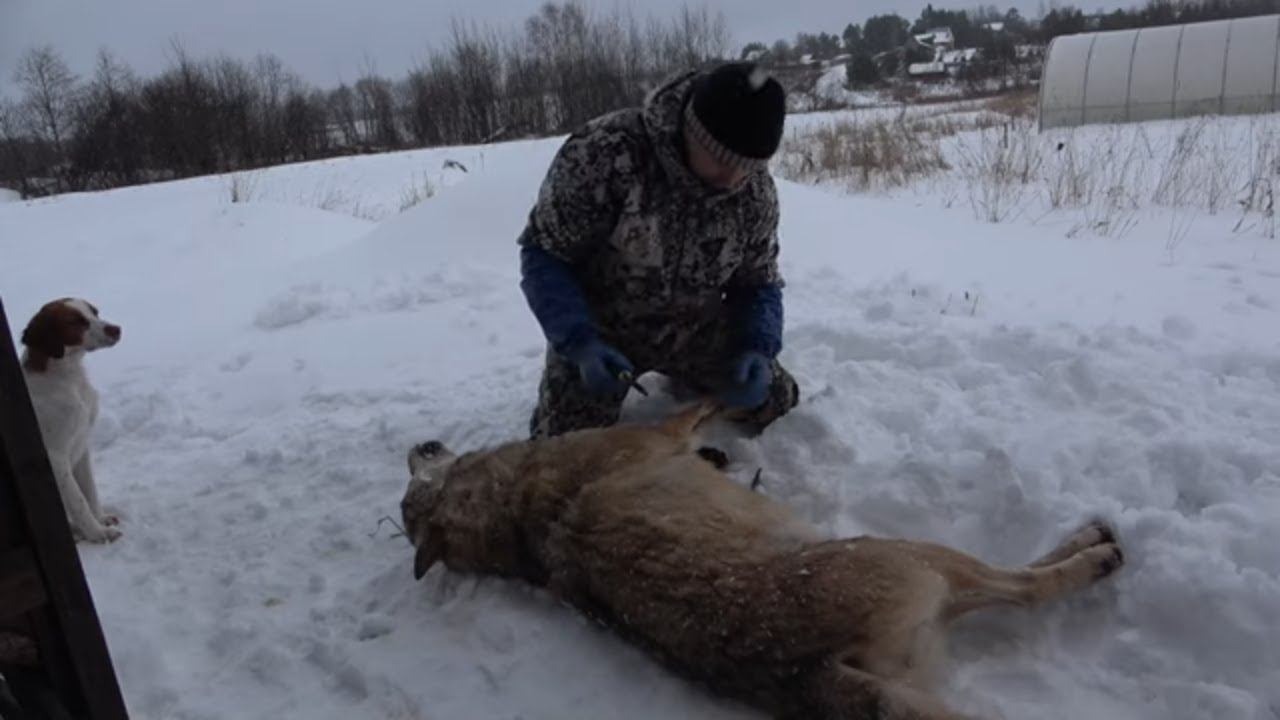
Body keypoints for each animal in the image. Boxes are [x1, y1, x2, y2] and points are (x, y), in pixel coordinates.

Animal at [19, 298, 122, 543]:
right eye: (74, 321)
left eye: (95, 312)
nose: (116, 329)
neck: (69, 378)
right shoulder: (55, 457)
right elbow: (79, 501)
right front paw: (98, 533)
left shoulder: (81, 444)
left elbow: (90, 491)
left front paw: (100, 519)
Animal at [401, 403, 1124, 719]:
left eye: (410, 485)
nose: (418, 442)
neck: (513, 508)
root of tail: (811, 671)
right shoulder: (663, 431)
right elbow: (701, 404)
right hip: (921, 558)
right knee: (1026, 584)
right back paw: (1096, 548)